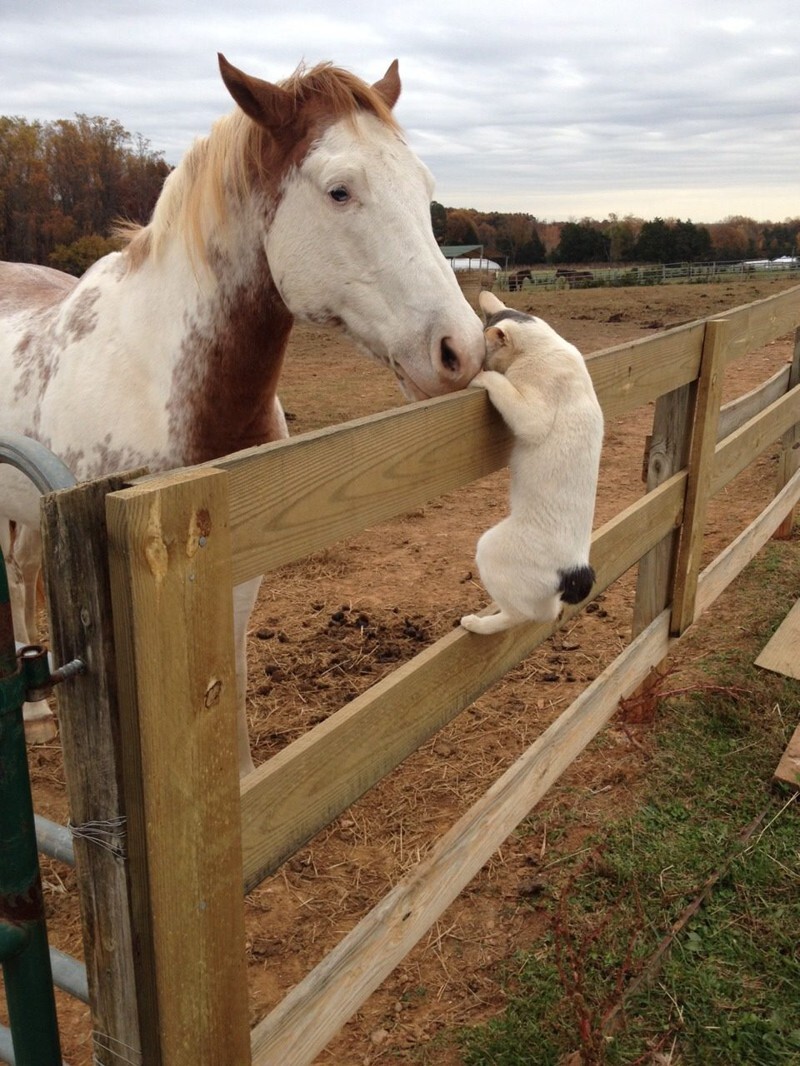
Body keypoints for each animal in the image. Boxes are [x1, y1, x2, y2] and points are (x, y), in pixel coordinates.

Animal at [0, 54, 486, 776]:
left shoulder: (236, 560)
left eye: (423, 187)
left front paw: (242, 778)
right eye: (340, 191)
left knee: (27, 566)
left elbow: (225, 667)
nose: (462, 350)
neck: (172, 386)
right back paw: (33, 715)